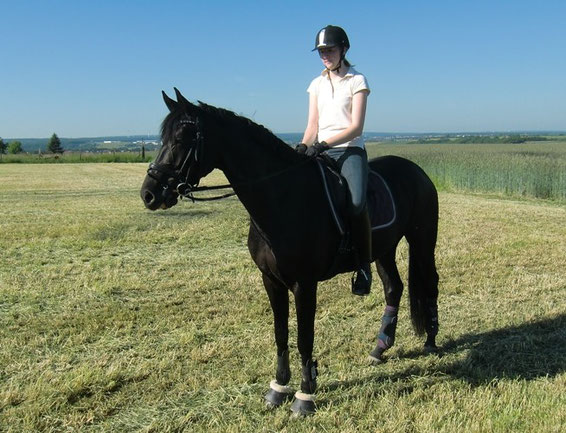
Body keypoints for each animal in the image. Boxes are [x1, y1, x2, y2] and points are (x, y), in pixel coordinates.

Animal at [140, 88, 442, 416]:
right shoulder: (271, 280)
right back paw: (379, 348)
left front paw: (305, 396)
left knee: (430, 283)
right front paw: (278, 388)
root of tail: (417, 171)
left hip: (423, 240)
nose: (149, 194)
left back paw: (431, 340)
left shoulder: (304, 284)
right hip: (384, 248)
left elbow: (304, 338)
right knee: (393, 288)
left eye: (183, 138)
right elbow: (281, 333)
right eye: (162, 138)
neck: (282, 198)